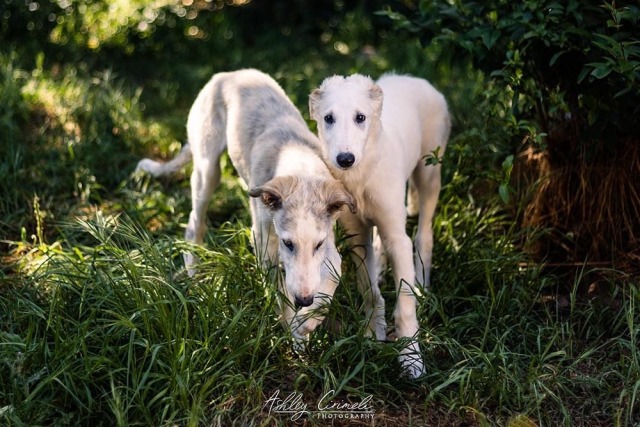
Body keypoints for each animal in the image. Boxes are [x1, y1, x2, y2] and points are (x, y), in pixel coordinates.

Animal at [136, 70, 356, 344]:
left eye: (317, 244)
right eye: (288, 243)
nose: (304, 300)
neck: (299, 166)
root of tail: (227, 75)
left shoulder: (328, 242)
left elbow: (333, 271)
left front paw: (306, 325)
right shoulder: (263, 242)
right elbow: (279, 291)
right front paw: (292, 327)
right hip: (207, 170)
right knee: (195, 223)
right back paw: (193, 273)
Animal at [310, 72, 450, 378]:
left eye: (360, 117)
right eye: (328, 118)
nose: (345, 160)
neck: (361, 176)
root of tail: (415, 78)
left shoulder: (398, 236)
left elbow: (405, 302)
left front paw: (411, 357)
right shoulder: (356, 235)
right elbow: (369, 290)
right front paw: (374, 335)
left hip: (430, 171)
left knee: (424, 235)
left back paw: (423, 286)